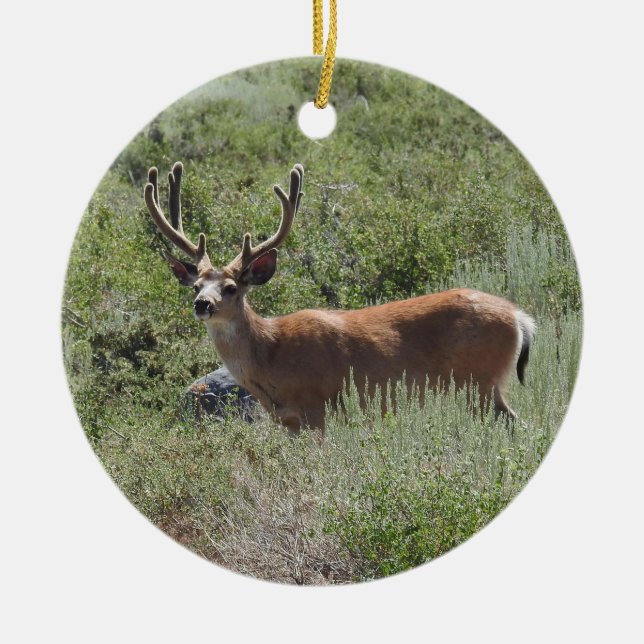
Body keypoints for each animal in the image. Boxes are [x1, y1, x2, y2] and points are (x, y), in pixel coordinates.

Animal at [144, 161, 536, 437]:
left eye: (231, 287)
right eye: (196, 285)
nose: (202, 305)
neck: (271, 354)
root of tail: (521, 318)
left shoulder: (317, 407)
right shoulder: (289, 421)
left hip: (478, 382)